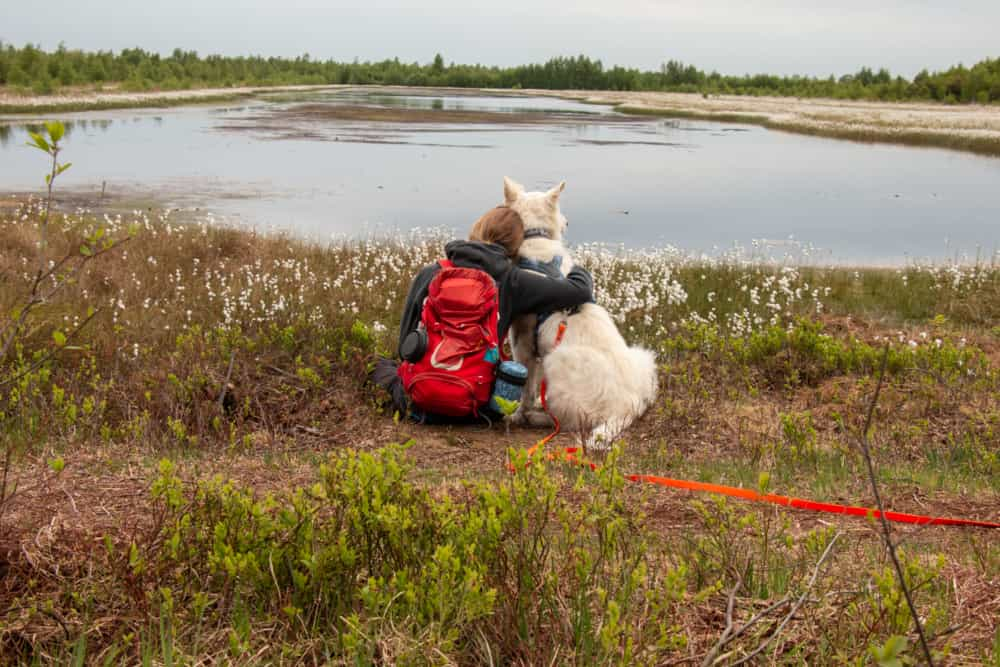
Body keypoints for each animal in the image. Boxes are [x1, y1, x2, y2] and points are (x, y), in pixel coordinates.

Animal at [504, 177, 660, 448]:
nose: (568, 222)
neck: (537, 238)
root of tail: (626, 407)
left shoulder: (522, 343)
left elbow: (525, 388)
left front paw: (519, 414)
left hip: (557, 361)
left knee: (569, 421)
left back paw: (536, 417)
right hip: (643, 357)